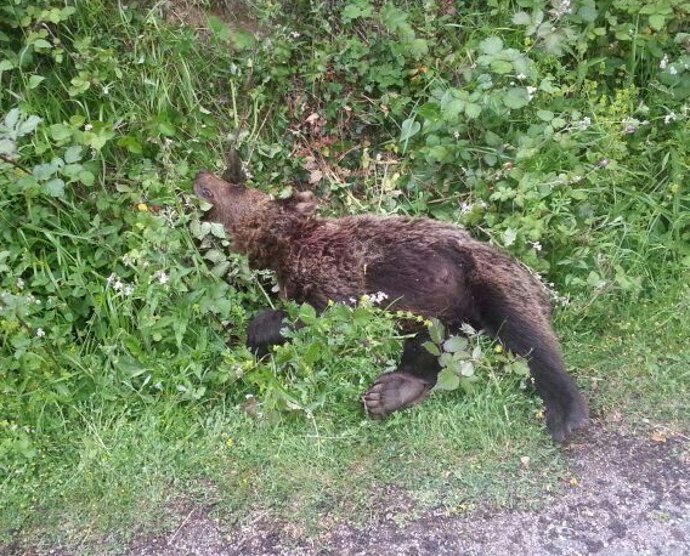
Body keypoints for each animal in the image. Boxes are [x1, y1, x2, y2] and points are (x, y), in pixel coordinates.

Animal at [193, 169, 588, 442]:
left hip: (486, 278)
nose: (200, 174)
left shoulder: (340, 274)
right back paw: (391, 392)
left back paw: (565, 412)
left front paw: (261, 330)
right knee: (431, 345)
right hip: (443, 316)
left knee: (526, 333)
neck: (285, 247)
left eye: (237, 185)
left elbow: (327, 316)